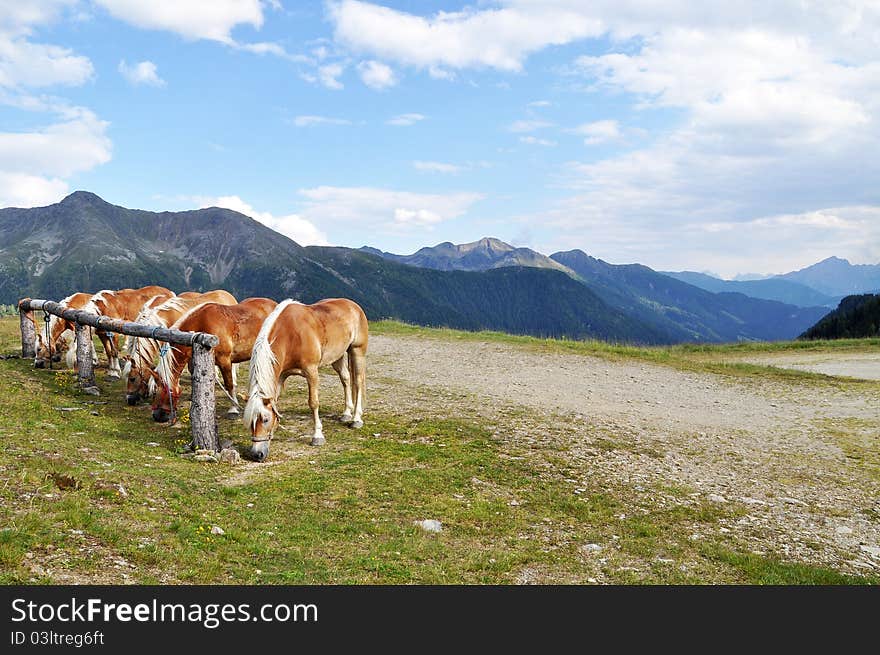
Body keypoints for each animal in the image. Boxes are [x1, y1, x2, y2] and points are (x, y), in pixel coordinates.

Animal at [148, 298, 278, 426]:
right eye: (154, 391)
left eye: (167, 391)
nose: (158, 416)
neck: (201, 325)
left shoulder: (225, 361)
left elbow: (229, 384)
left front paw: (233, 409)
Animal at [242, 300, 366, 464]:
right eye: (250, 421)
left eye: (266, 419)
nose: (257, 454)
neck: (290, 335)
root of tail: (353, 305)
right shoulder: (281, 376)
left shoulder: (311, 371)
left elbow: (313, 403)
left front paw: (317, 436)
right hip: (337, 357)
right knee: (345, 379)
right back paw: (346, 413)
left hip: (357, 351)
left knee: (357, 382)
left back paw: (356, 419)